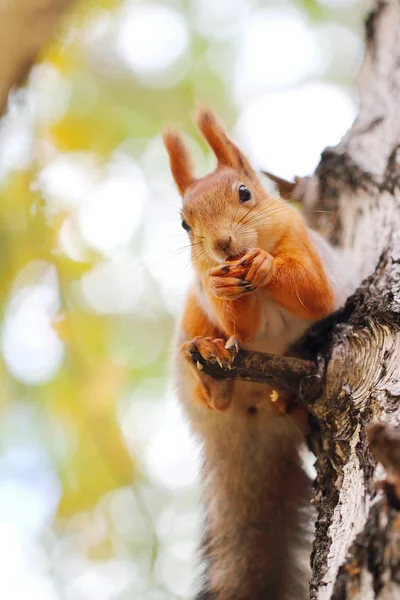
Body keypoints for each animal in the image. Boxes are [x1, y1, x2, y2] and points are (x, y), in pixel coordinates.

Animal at [162, 108, 350, 600]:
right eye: (185, 225)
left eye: (244, 192)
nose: (222, 245)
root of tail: (245, 432)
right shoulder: (214, 300)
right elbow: (240, 330)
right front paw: (224, 285)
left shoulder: (304, 244)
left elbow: (314, 294)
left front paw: (266, 265)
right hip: (191, 323)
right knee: (210, 376)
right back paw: (212, 376)